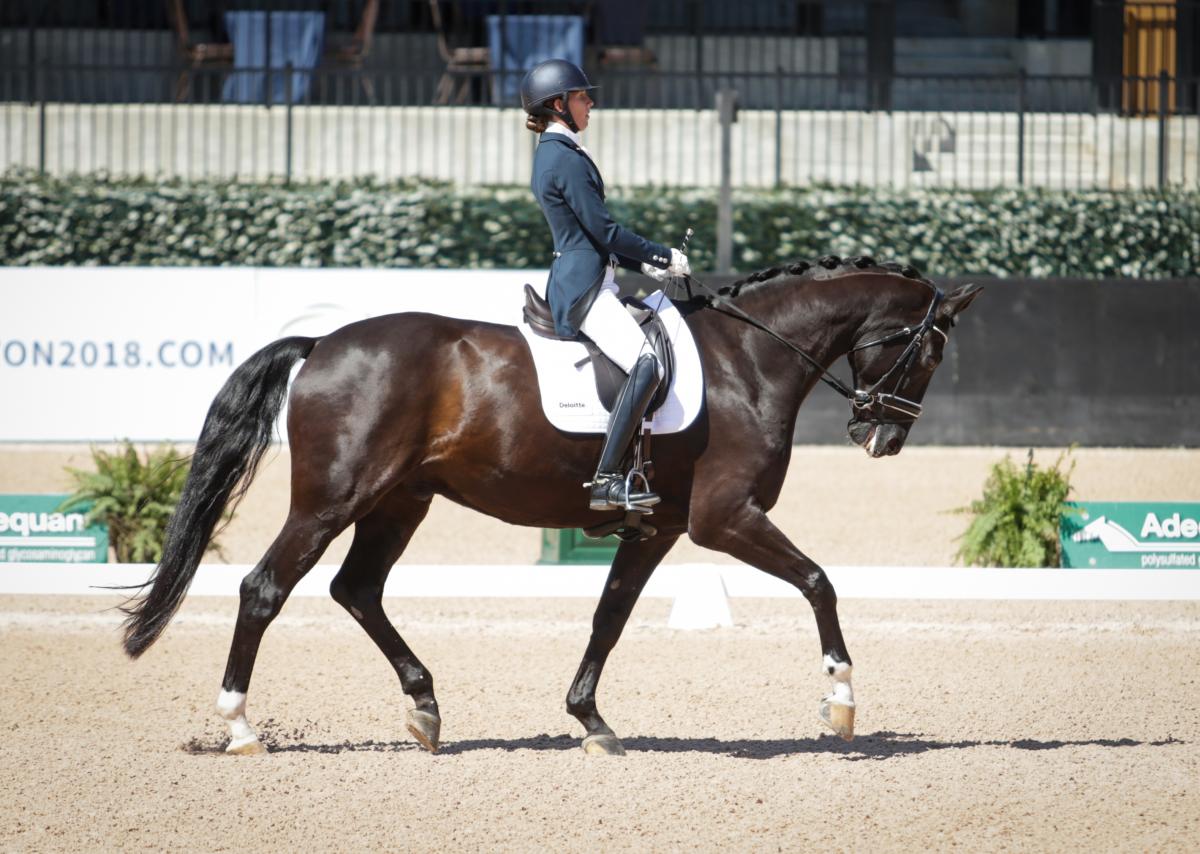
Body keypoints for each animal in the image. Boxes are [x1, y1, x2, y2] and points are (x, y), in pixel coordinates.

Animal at [126, 253, 979, 753]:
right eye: (931, 350)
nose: (882, 438)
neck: (750, 360)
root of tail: (323, 345)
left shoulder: (657, 527)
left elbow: (610, 616)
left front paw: (591, 721)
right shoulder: (723, 519)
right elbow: (818, 581)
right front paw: (841, 699)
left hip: (400, 501)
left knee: (356, 588)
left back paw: (425, 709)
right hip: (332, 499)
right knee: (266, 588)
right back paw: (241, 727)